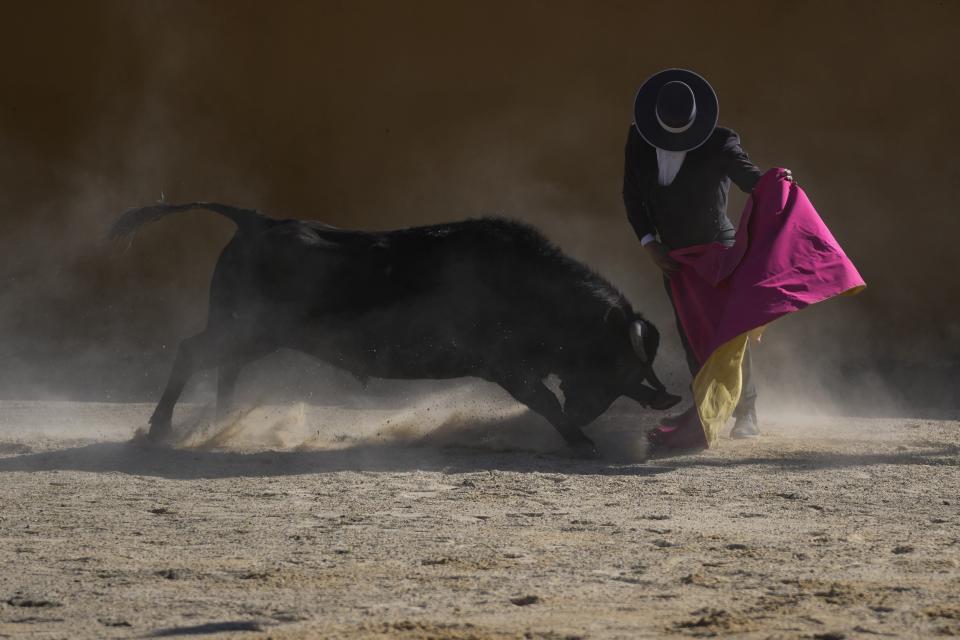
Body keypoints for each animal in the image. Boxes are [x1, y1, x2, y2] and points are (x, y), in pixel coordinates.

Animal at [110, 205, 684, 456]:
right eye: (613, 357)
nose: (661, 396)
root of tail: (257, 221)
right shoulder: (508, 366)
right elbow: (543, 400)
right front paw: (581, 439)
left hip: (252, 333)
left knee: (222, 368)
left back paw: (218, 424)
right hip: (247, 329)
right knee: (192, 352)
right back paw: (161, 429)